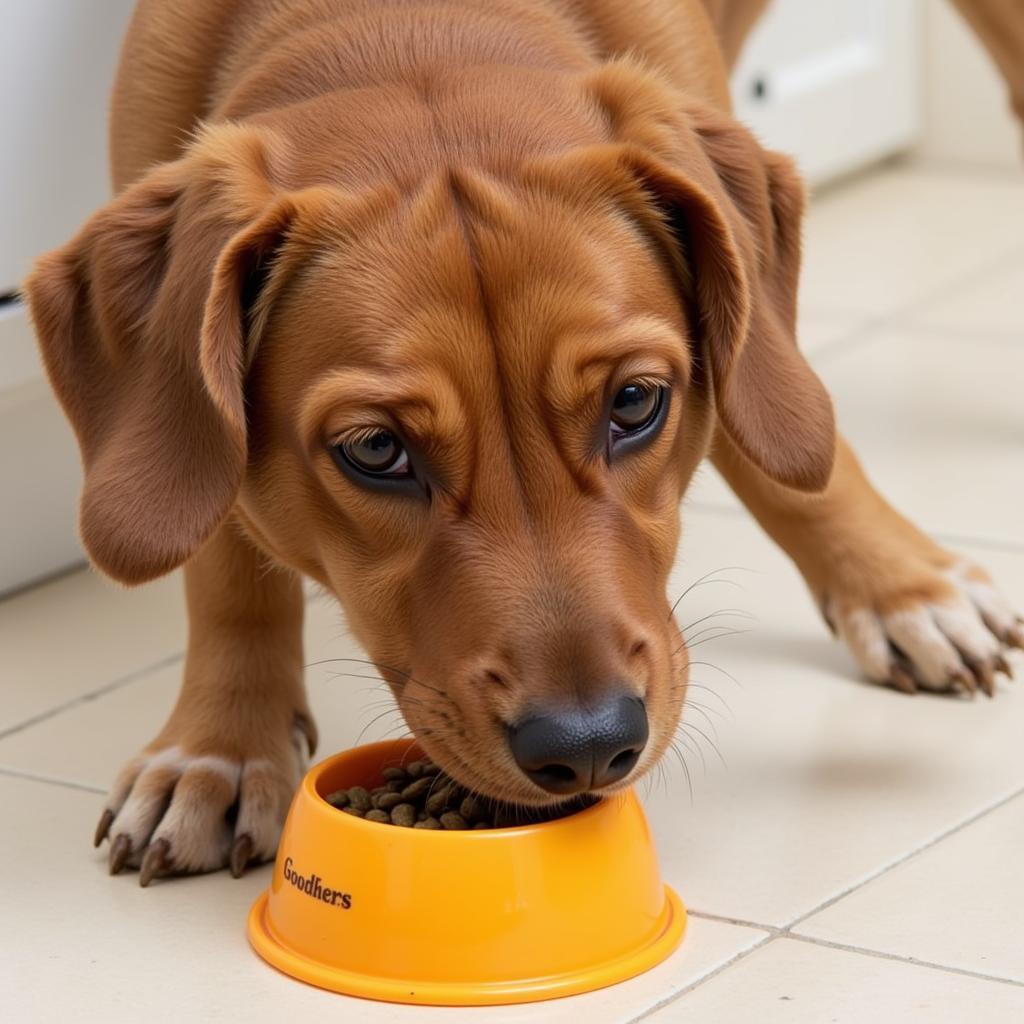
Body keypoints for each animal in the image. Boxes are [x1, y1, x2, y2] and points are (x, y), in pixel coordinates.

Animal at [19, 0, 1019, 884]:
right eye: (376, 451)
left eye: (635, 402)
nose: (589, 746)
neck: (400, 28)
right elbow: (222, 548)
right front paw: (222, 747)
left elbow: (777, 432)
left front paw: (901, 588)